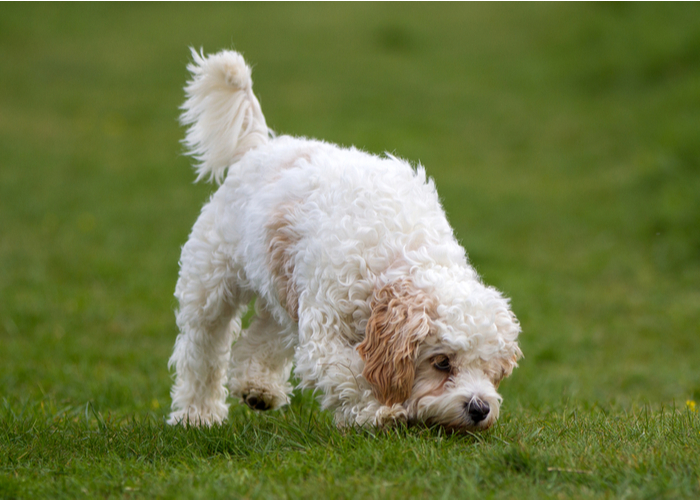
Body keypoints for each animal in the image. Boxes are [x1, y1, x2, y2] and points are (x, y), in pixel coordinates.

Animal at [168, 50, 520, 432]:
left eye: (489, 367)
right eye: (442, 362)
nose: (480, 408)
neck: (395, 258)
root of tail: (260, 146)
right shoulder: (324, 330)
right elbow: (349, 374)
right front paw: (380, 412)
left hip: (283, 288)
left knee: (264, 335)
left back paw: (258, 387)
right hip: (210, 284)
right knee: (202, 349)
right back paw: (196, 413)